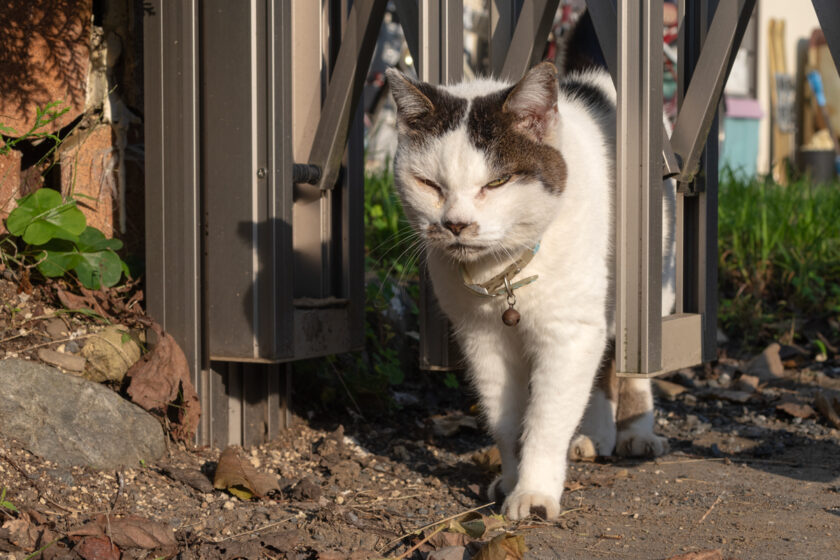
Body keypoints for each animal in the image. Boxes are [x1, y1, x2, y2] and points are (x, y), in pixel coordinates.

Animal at [386, 58, 676, 520]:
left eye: (497, 182)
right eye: (429, 185)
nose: (456, 224)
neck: (502, 271)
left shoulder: (570, 333)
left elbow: (546, 419)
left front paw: (534, 494)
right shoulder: (482, 339)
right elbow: (505, 420)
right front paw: (509, 480)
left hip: (649, 287)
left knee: (630, 362)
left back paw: (635, 434)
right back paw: (595, 434)